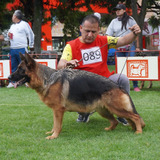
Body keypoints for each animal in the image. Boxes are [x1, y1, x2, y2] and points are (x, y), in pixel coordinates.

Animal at [8, 53, 145, 139]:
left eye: (20, 69)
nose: (9, 77)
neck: (47, 79)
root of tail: (119, 86)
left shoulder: (58, 110)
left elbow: (57, 125)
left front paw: (54, 136)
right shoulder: (55, 111)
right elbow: (54, 124)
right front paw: (52, 133)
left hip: (116, 109)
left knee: (136, 116)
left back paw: (138, 131)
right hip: (104, 110)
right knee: (115, 121)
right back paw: (109, 129)